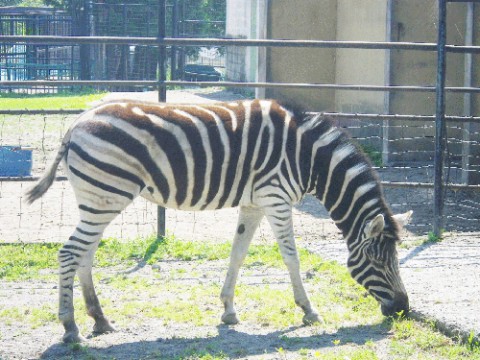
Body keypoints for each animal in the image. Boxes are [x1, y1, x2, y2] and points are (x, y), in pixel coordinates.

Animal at [24, 98, 410, 344]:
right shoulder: (276, 198)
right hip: (107, 194)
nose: (403, 309)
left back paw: (100, 320)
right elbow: (291, 257)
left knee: (84, 255)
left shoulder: (254, 203)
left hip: (97, 198)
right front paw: (309, 311)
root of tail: (76, 123)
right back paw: (70, 326)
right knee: (69, 253)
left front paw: (228, 311)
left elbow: (238, 254)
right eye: (378, 261)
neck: (308, 157)